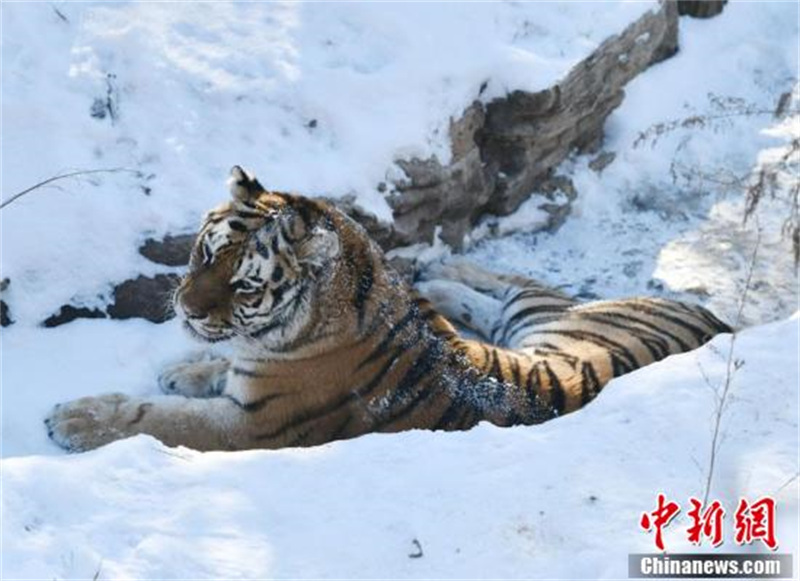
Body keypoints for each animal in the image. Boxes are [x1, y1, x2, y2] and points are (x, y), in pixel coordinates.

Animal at [45, 166, 732, 452]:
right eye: (202, 253)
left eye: (243, 286)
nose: (185, 311)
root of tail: (720, 321)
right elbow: (214, 366)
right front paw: (185, 368)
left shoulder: (250, 427)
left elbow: (156, 419)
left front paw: (74, 418)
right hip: (532, 324)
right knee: (500, 290)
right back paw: (440, 273)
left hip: (556, 316)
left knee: (522, 280)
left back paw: (443, 269)